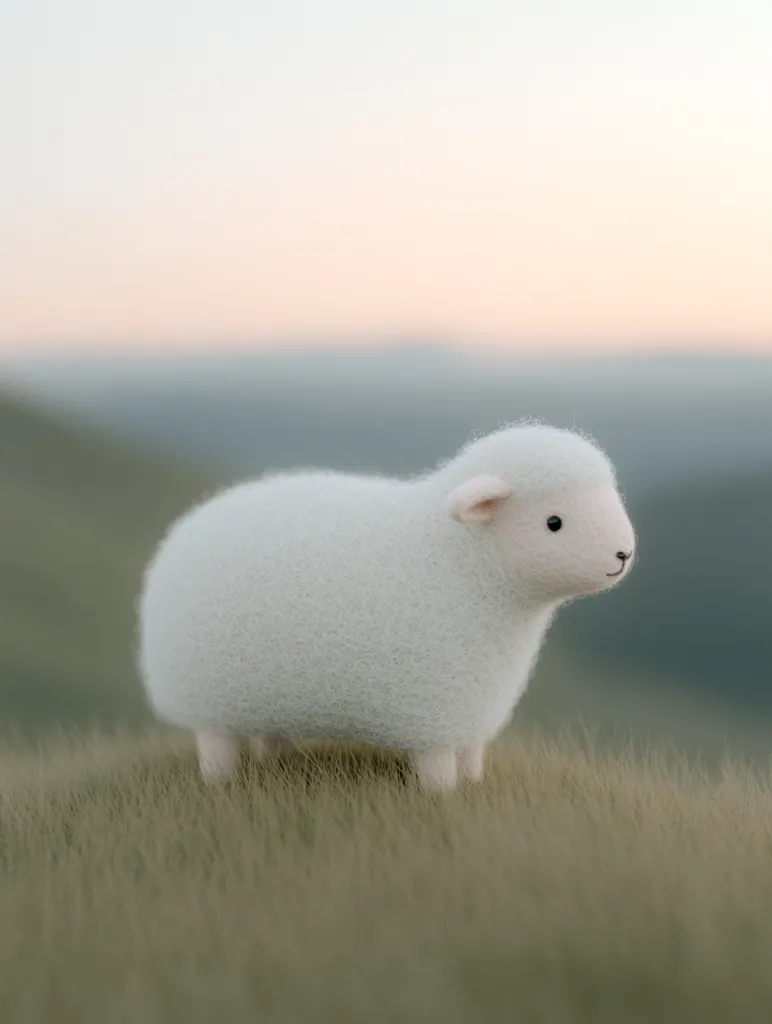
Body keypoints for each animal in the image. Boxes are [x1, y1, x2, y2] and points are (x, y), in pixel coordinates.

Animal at [137, 423, 636, 791]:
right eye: (554, 523)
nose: (623, 554)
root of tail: (180, 534)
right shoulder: (437, 711)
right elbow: (439, 772)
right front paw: (444, 796)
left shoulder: (472, 707)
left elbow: (472, 758)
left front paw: (474, 784)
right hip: (206, 695)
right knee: (215, 746)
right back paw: (221, 780)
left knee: (270, 733)